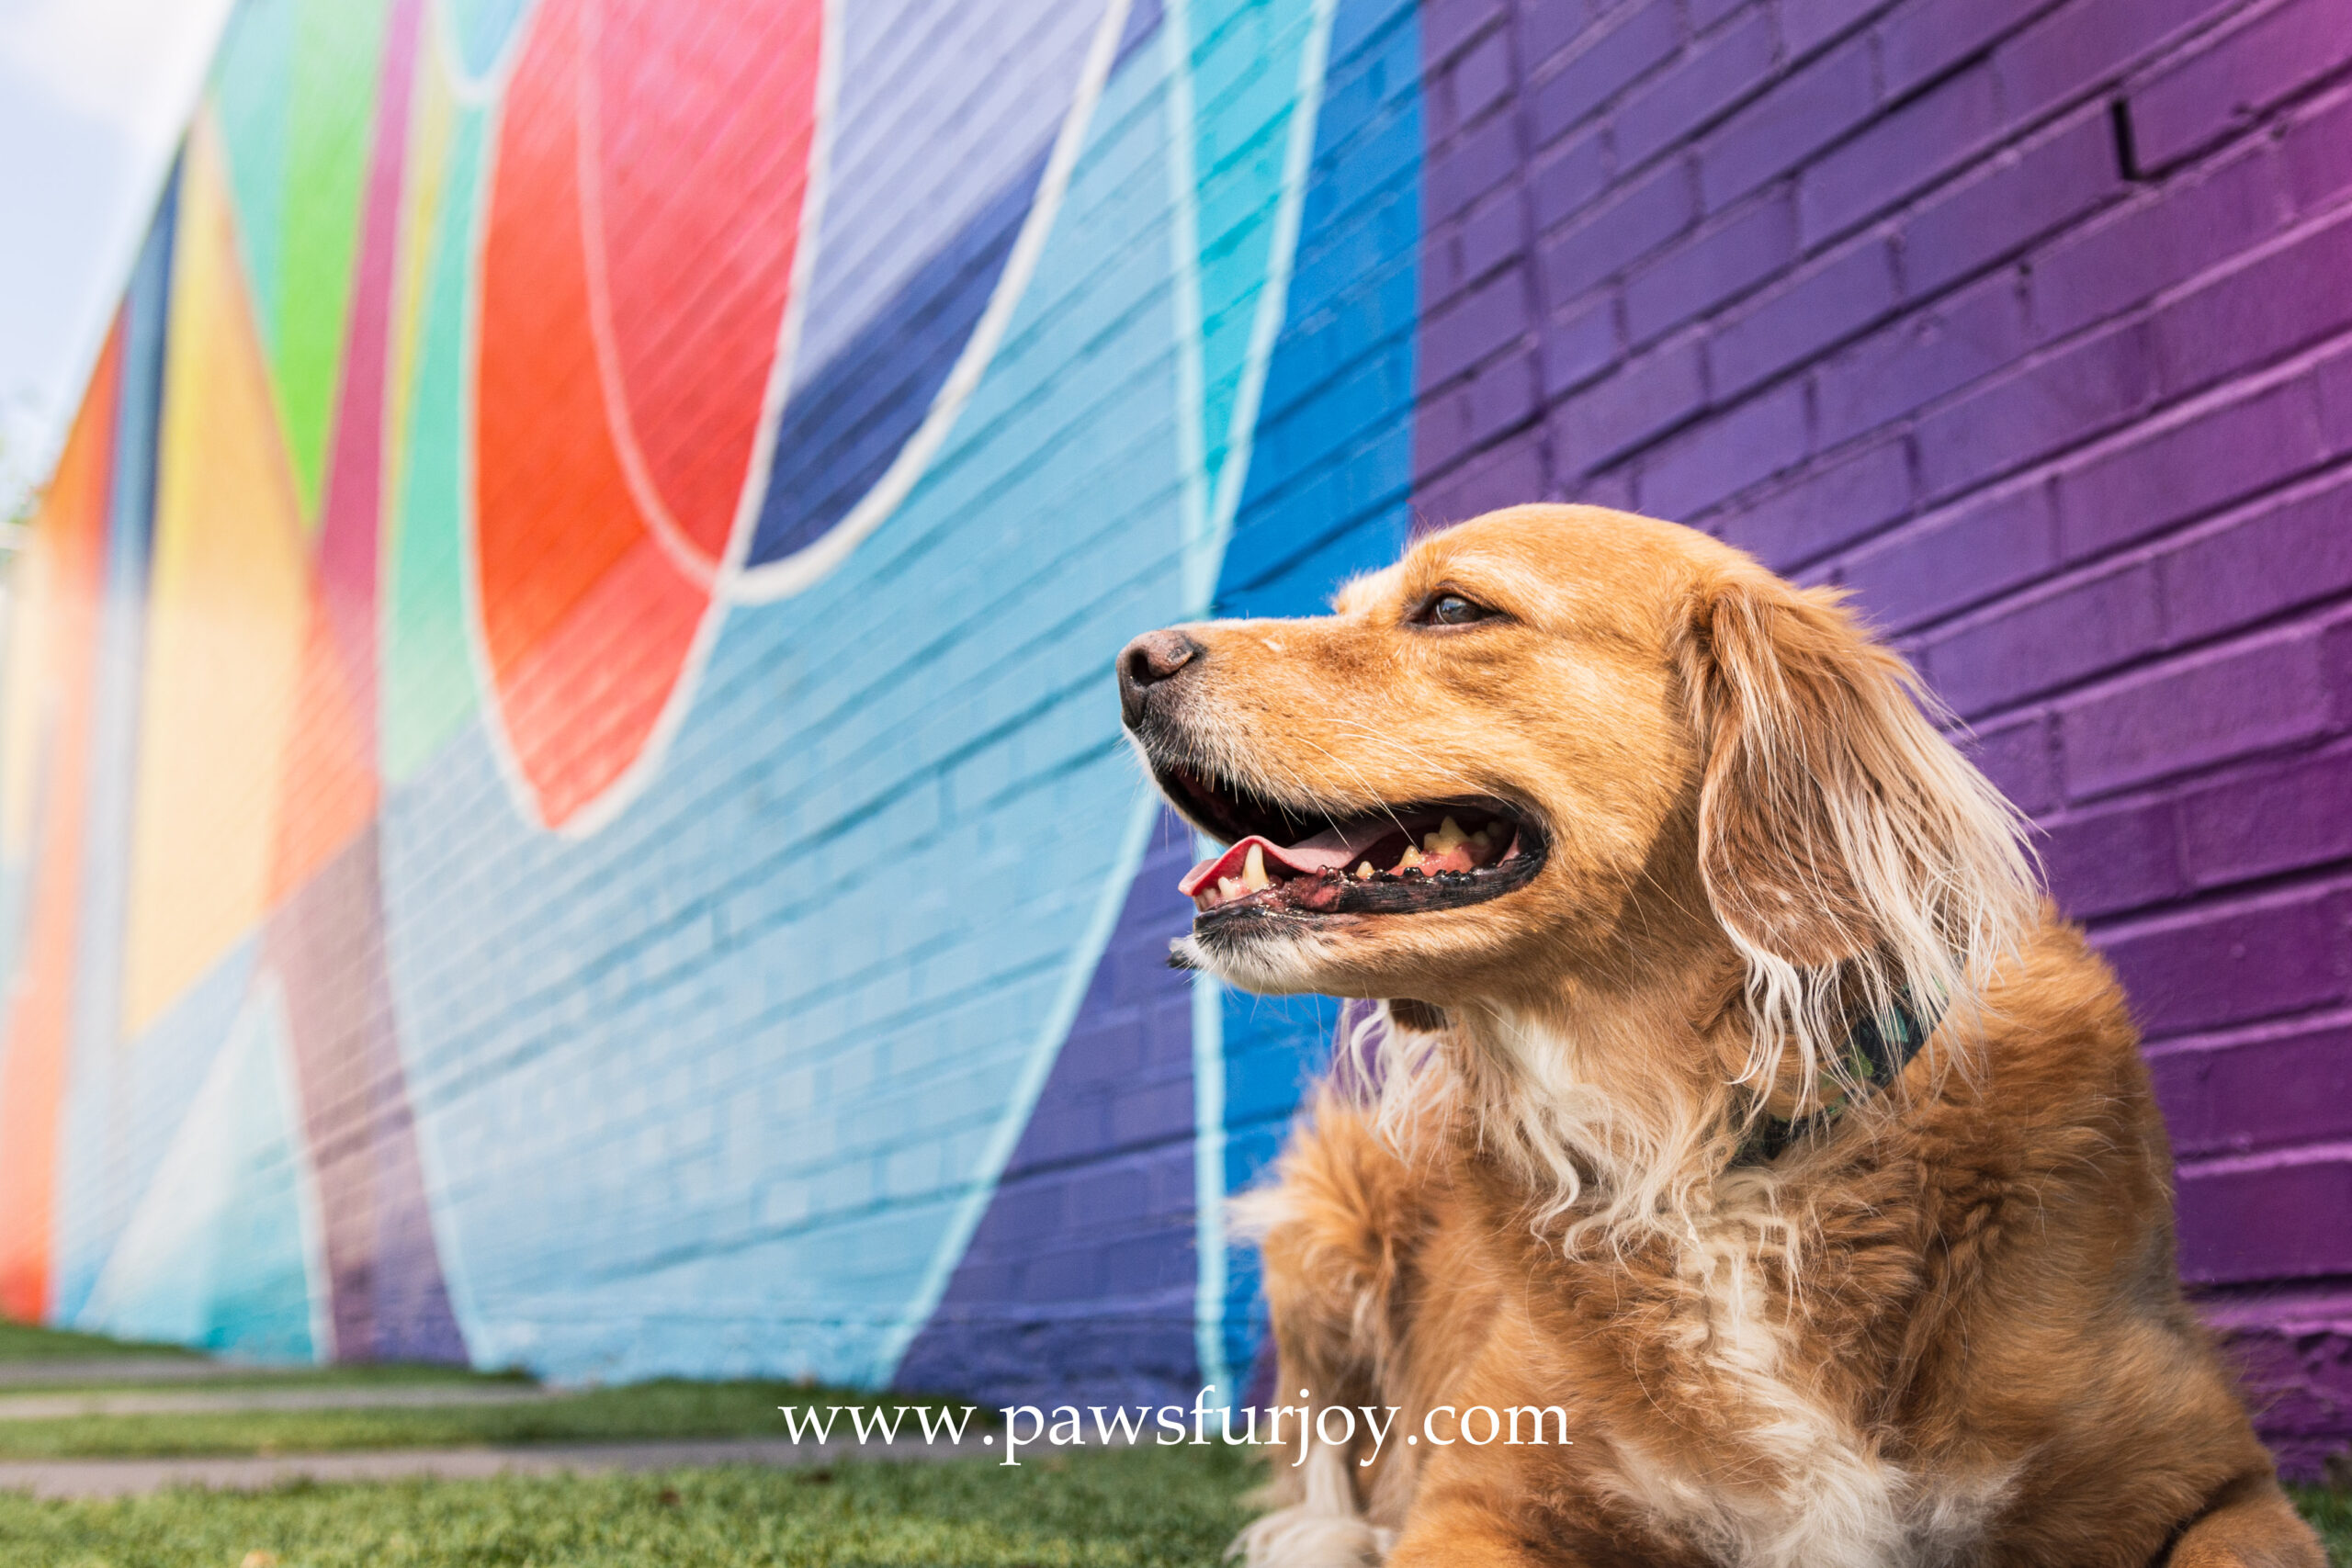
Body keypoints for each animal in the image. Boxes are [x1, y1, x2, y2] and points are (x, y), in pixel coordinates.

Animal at [1114, 510, 2314, 1561]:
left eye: (1451, 607)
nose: (1131, 662)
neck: (1700, 1147)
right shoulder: (1479, 1503)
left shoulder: (2216, 1481)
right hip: (1326, 1210)